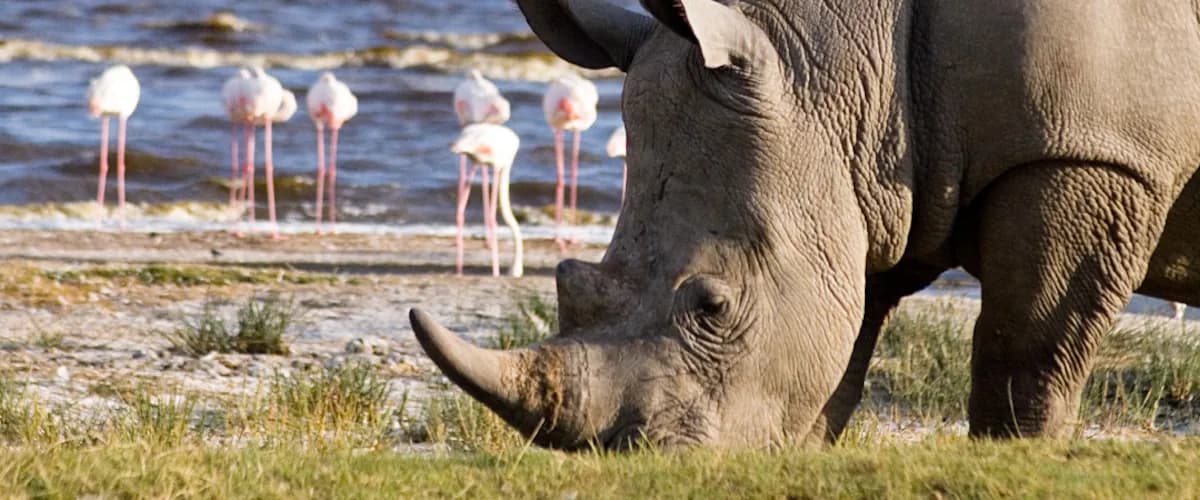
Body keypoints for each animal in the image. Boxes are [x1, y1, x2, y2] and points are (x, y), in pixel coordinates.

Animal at [409, 0, 1200, 448]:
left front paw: (1013, 457)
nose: (631, 460)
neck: (847, 64)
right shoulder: (868, 173)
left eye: (714, 306)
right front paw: (795, 458)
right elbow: (840, 354)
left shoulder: (1096, 153)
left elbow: (1028, 350)